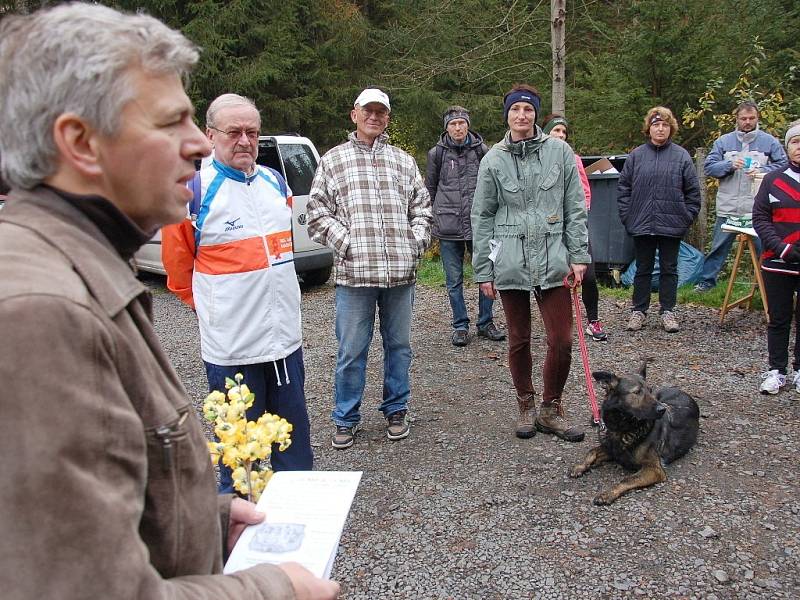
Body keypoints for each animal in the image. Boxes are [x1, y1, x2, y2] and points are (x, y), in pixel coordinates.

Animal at [572, 364, 696, 504]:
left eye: (649, 390)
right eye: (637, 392)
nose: (662, 409)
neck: (623, 428)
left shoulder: (654, 469)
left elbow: (627, 479)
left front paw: (608, 494)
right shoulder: (613, 450)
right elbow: (592, 451)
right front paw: (580, 466)